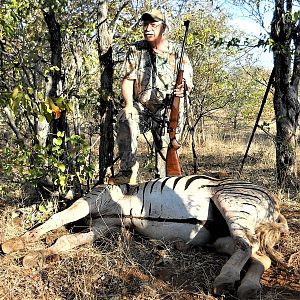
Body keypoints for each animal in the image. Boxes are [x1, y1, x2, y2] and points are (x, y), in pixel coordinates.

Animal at [1, 175, 288, 298]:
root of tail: (274, 204)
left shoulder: (91, 201)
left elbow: (57, 219)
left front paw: (15, 243)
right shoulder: (106, 226)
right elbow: (65, 240)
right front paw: (36, 255)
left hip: (232, 202)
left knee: (247, 245)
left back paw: (226, 279)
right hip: (221, 238)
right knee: (261, 257)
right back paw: (247, 287)